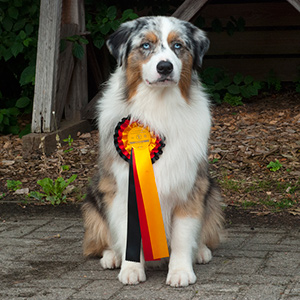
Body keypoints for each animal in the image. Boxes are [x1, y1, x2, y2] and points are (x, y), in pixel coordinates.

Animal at [82, 16, 223, 288]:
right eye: (146, 45)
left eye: (178, 45)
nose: (165, 67)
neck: (159, 105)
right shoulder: (123, 186)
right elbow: (127, 231)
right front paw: (131, 268)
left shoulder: (189, 185)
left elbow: (182, 236)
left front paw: (180, 271)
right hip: (96, 194)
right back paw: (112, 256)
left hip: (210, 190)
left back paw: (200, 251)